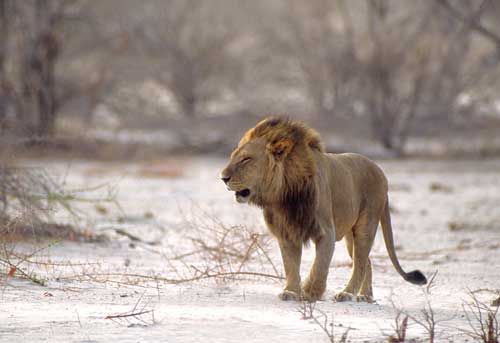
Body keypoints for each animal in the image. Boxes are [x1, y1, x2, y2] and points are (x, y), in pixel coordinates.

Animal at [219, 118, 426, 304]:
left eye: (246, 159)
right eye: (233, 156)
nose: (223, 178)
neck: (283, 196)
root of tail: (381, 171)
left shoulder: (326, 231)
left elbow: (320, 266)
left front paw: (311, 293)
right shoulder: (287, 233)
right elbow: (290, 266)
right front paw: (290, 292)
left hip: (366, 225)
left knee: (360, 263)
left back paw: (347, 294)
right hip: (350, 236)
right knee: (366, 262)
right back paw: (365, 296)